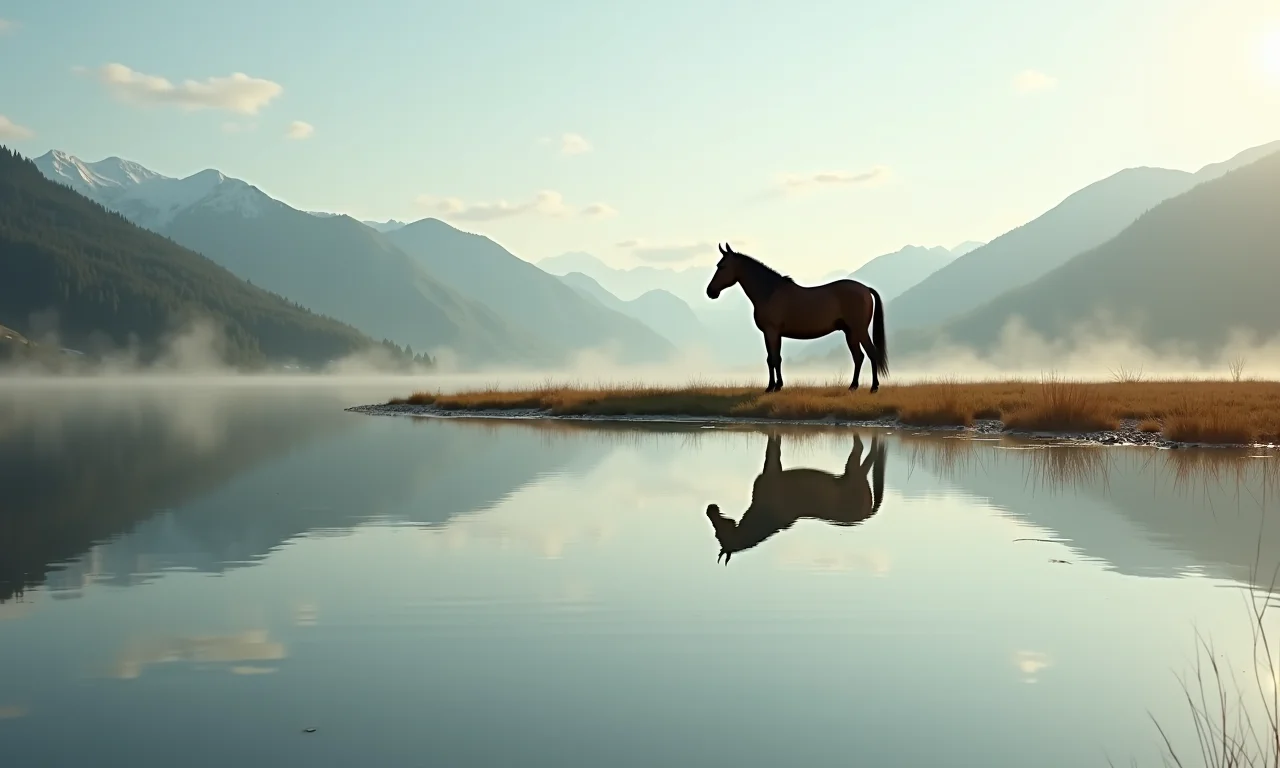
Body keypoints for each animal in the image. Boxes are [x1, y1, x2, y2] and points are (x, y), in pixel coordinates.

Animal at [705, 243, 888, 393]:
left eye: (722, 266)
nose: (710, 291)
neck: (769, 292)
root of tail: (865, 289)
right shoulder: (769, 334)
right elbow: (772, 359)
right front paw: (773, 386)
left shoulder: (772, 332)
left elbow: (774, 359)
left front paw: (774, 387)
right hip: (850, 333)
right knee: (859, 357)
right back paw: (853, 386)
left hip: (859, 330)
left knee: (871, 353)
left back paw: (874, 387)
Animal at [705, 431, 887, 565]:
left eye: (719, 534)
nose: (710, 508)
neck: (764, 513)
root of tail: (866, 514)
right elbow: (775, 443)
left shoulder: (772, 468)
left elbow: (773, 447)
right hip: (854, 473)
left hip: (853, 472)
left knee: (862, 449)